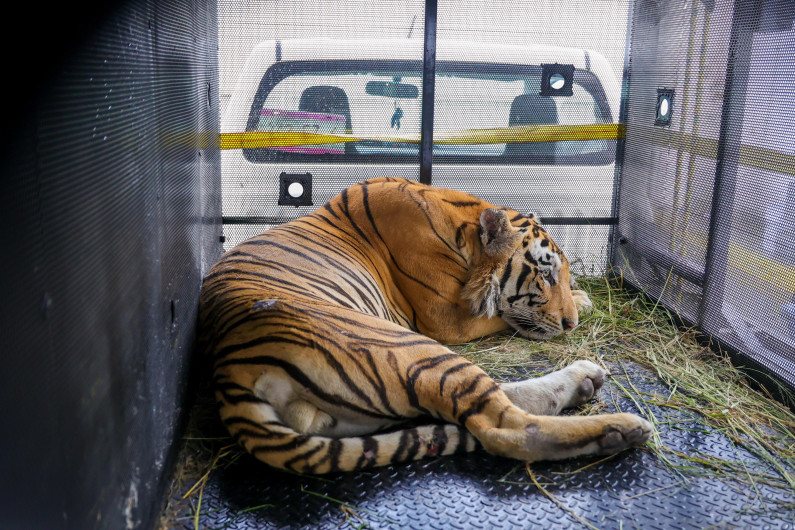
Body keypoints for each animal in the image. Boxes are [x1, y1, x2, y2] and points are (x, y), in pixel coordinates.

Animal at [199, 177, 652, 474]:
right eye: (544, 274)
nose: (570, 323)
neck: (463, 227)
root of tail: (228, 370)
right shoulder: (445, 319)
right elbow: (502, 316)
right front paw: (584, 301)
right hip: (403, 343)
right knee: (506, 428)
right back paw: (621, 429)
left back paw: (586, 379)